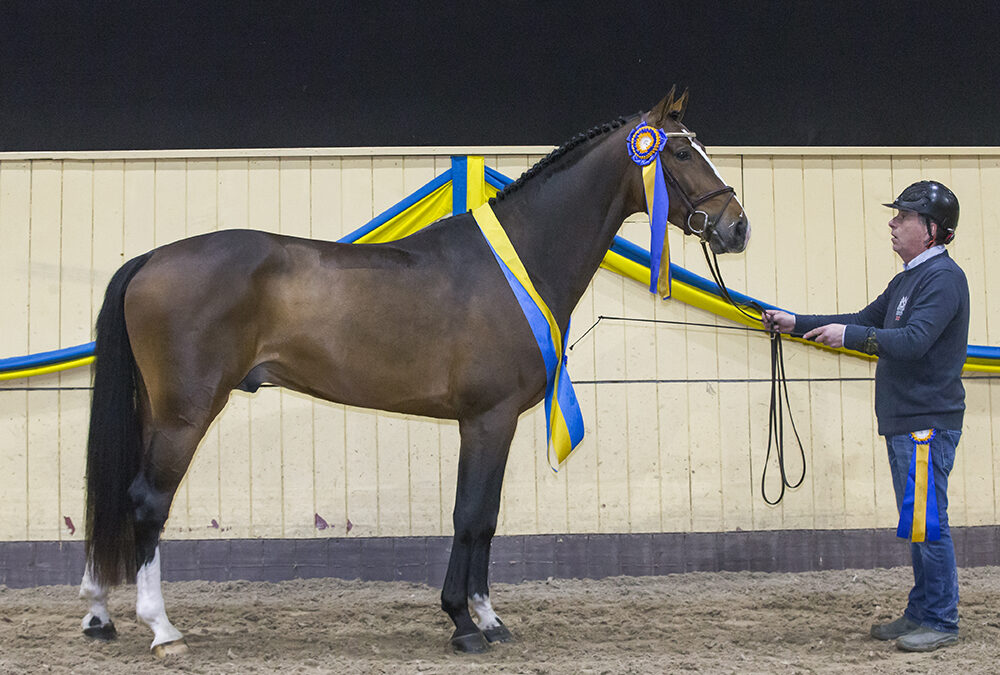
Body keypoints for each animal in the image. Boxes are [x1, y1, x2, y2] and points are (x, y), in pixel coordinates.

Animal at [80, 90, 752, 656]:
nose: (738, 226)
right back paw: (162, 629)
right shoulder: (487, 419)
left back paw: (99, 614)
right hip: (186, 414)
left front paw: (487, 619)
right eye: (682, 152)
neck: (520, 258)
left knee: (118, 494)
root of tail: (151, 259)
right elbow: (471, 515)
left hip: (157, 411)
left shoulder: (491, 424)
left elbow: (486, 517)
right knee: (147, 500)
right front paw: (465, 622)